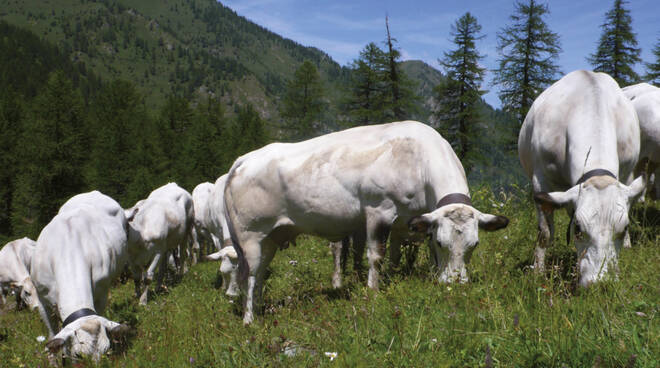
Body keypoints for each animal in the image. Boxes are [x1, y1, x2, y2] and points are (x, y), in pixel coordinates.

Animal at [30, 191, 131, 360]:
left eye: (106, 352)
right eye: (78, 355)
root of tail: (93, 192)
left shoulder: (102, 291)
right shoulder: (40, 296)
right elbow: (51, 333)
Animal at [224, 121, 508, 322]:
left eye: (474, 245)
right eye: (442, 242)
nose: (455, 284)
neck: (417, 160)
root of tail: (245, 158)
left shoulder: (415, 220)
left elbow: (398, 256)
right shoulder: (378, 211)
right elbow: (376, 256)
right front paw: (373, 291)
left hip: (270, 237)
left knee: (260, 273)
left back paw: (260, 308)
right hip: (250, 236)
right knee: (251, 274)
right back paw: (249, 319)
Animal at [520, 70, 640, 286]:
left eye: (625, 227)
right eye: (577, 228)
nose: (600, 283)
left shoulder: (626, 174)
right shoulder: (540, 180)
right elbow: (545, 232)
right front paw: (538, 273)